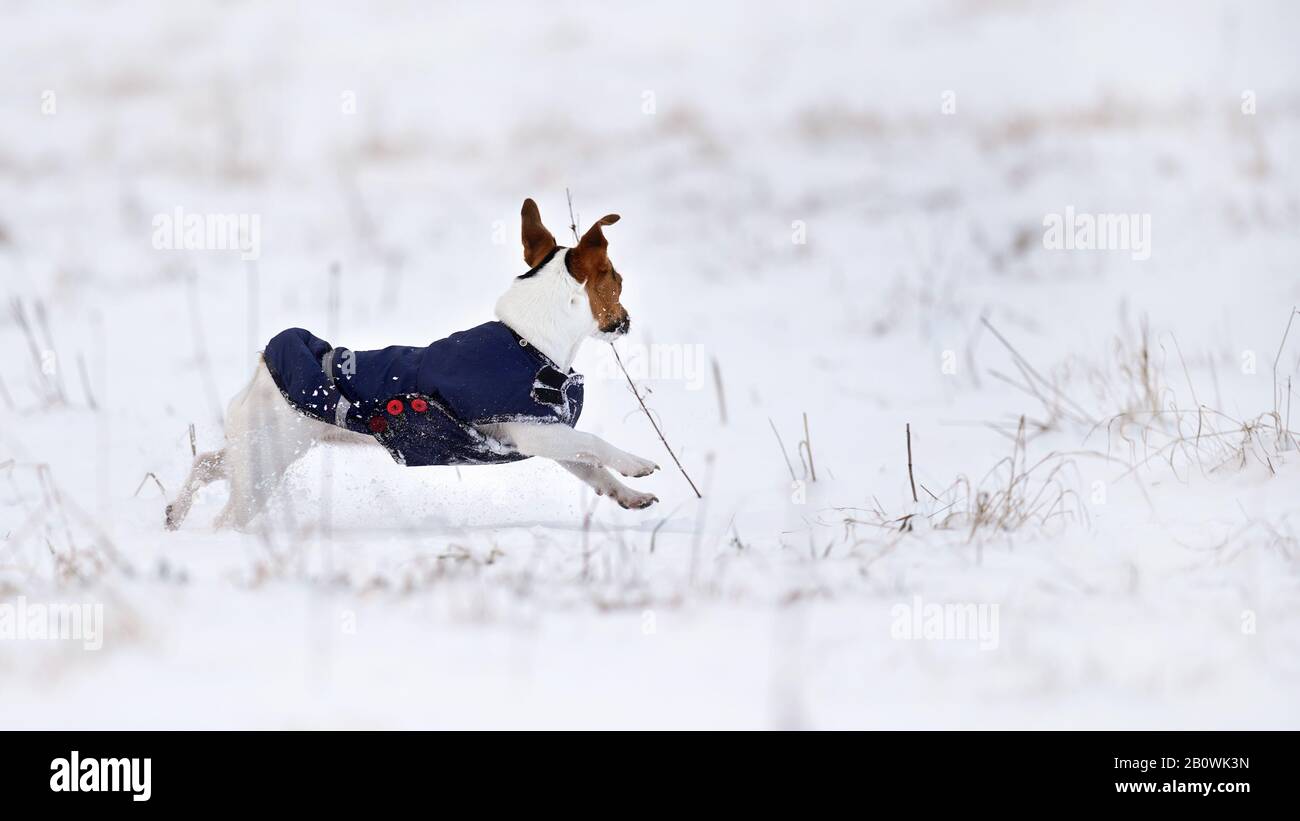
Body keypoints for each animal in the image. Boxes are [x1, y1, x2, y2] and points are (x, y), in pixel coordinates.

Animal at [167, 198, 660, 532]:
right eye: (616, 280)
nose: (626, 320)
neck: (528, 342)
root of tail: (265, 371)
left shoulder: (550, 437)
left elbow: (591, 466)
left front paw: (628, 494)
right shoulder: (533, 430)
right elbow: (595, 443)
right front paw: (636, 463)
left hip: (255, 451)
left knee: (208, 464)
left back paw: (175, 511)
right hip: (264, 464)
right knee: (227, 515)